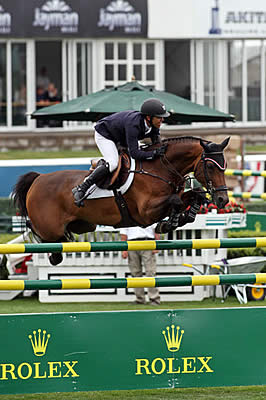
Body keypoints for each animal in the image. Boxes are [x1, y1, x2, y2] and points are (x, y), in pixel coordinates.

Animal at [12, 137, 230, 266]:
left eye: (225, 166)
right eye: (210, 167)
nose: (222, 200)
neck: (160, 167)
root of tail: (38, 178)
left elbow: (195, 194)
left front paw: (182, 217)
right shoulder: (145, 212)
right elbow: (176, 200)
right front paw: (169, 223)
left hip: (84, 224)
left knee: (62, 238)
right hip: (51, 228)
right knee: (41, 233)